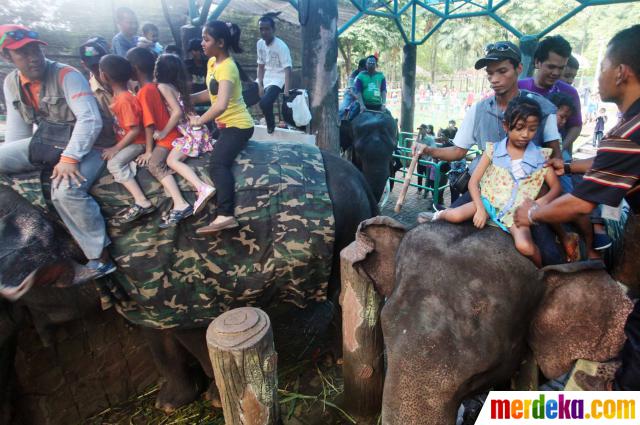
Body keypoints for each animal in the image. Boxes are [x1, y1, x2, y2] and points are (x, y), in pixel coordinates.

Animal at [0, 142, 380, 414]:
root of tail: (361, 179)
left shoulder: (179, 275)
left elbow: (193, 331)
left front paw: (213, 398)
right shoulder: (147, 286)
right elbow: (157, 334)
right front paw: (168, 404)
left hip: (346, 229)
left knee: (343, 294)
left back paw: (337, 359)